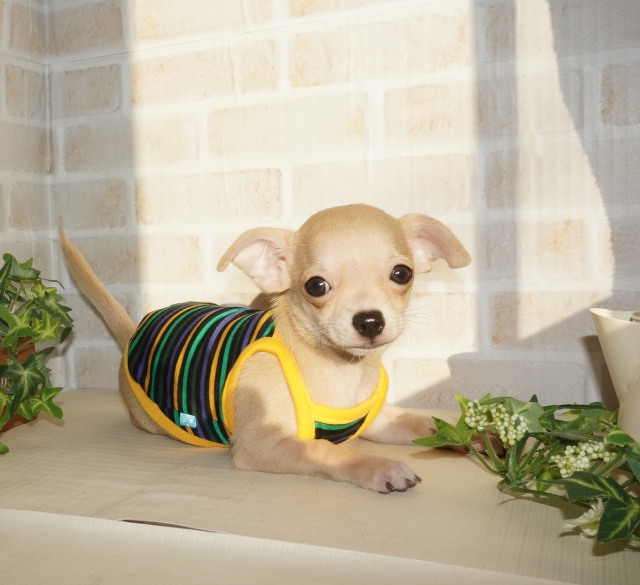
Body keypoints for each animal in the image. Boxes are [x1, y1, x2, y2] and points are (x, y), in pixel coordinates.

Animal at [60, 204, 473, 493]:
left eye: (402, 274)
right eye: (316, 286)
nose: (369, 320)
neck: (341, 369)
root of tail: (133, 330)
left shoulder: (380, 419)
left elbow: (424, 423)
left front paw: (474, 434)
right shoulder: (262, 444)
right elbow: (328, 450)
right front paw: (377, 465)